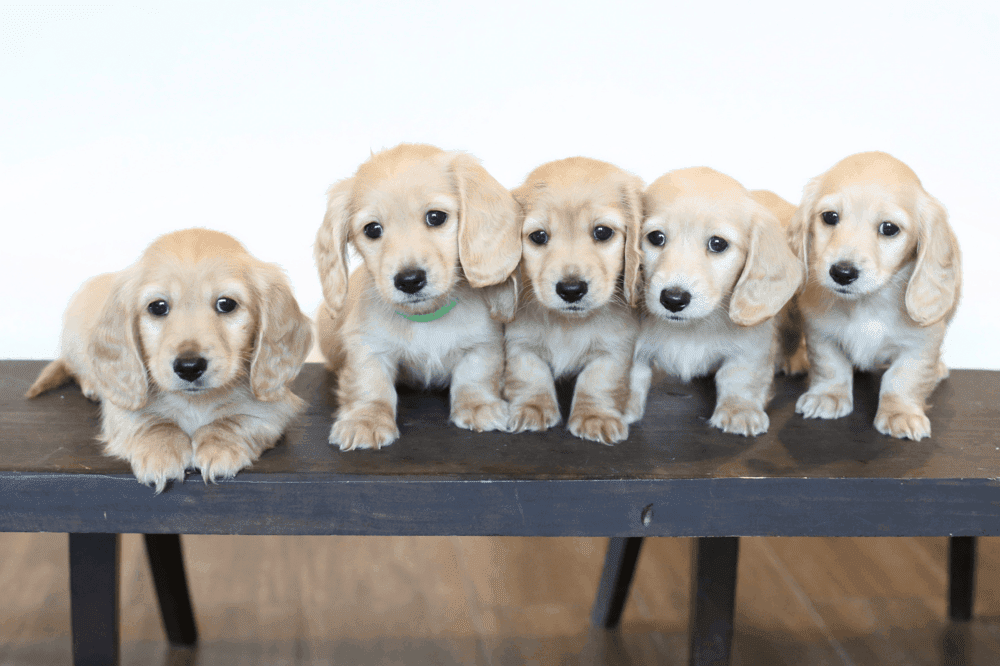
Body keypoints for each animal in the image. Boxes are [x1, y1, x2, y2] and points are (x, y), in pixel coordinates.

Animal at [25, 230, 312, 490]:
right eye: (158, 307)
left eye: (226, 304)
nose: (189, 367)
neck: (194, 401)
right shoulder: (121, 411)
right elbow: (152, 422)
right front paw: (160, 450)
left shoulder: (274, 407)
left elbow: (239, 418)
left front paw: (220, 443)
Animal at [314, 144, 520, 452]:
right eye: (372, 229)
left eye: (436, 217)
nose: (409, 280)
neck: (426, 318)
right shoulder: (369, 346)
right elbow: (369, 384)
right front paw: (367, 419)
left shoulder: (483, 343)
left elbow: (476, 375)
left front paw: (478, 405)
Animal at [508, 159, 640, 446]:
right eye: (539, 236)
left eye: (602, 232)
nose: (571, 290)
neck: (568, 323)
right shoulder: (519, 341)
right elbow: (529, 373)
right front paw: (532, 408)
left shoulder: (615, 348)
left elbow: (598, 379)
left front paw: (595, 416)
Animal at [788, 153, 960, 440]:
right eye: (830, 217)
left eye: (889, 228)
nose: (842, 273)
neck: (867, 303)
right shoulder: (820, 332)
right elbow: (829, 365)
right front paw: (827, 395)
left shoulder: (921, 344)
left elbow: (903, 377)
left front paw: (900, 412)